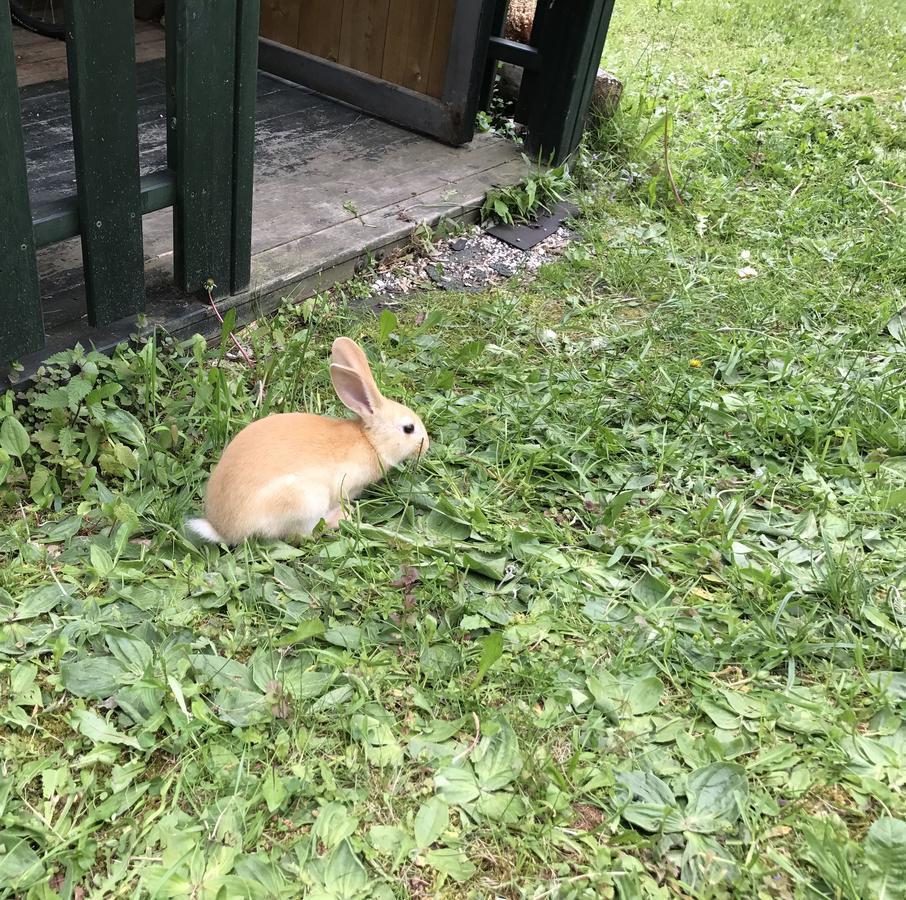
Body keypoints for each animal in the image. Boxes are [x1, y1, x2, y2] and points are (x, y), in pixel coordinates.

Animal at [185, 338, 430, 544]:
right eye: (408, 429)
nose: (426, 446)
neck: (369, 440)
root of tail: (225, 530)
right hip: (305, 500)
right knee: (303, 533)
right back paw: (340, 517)